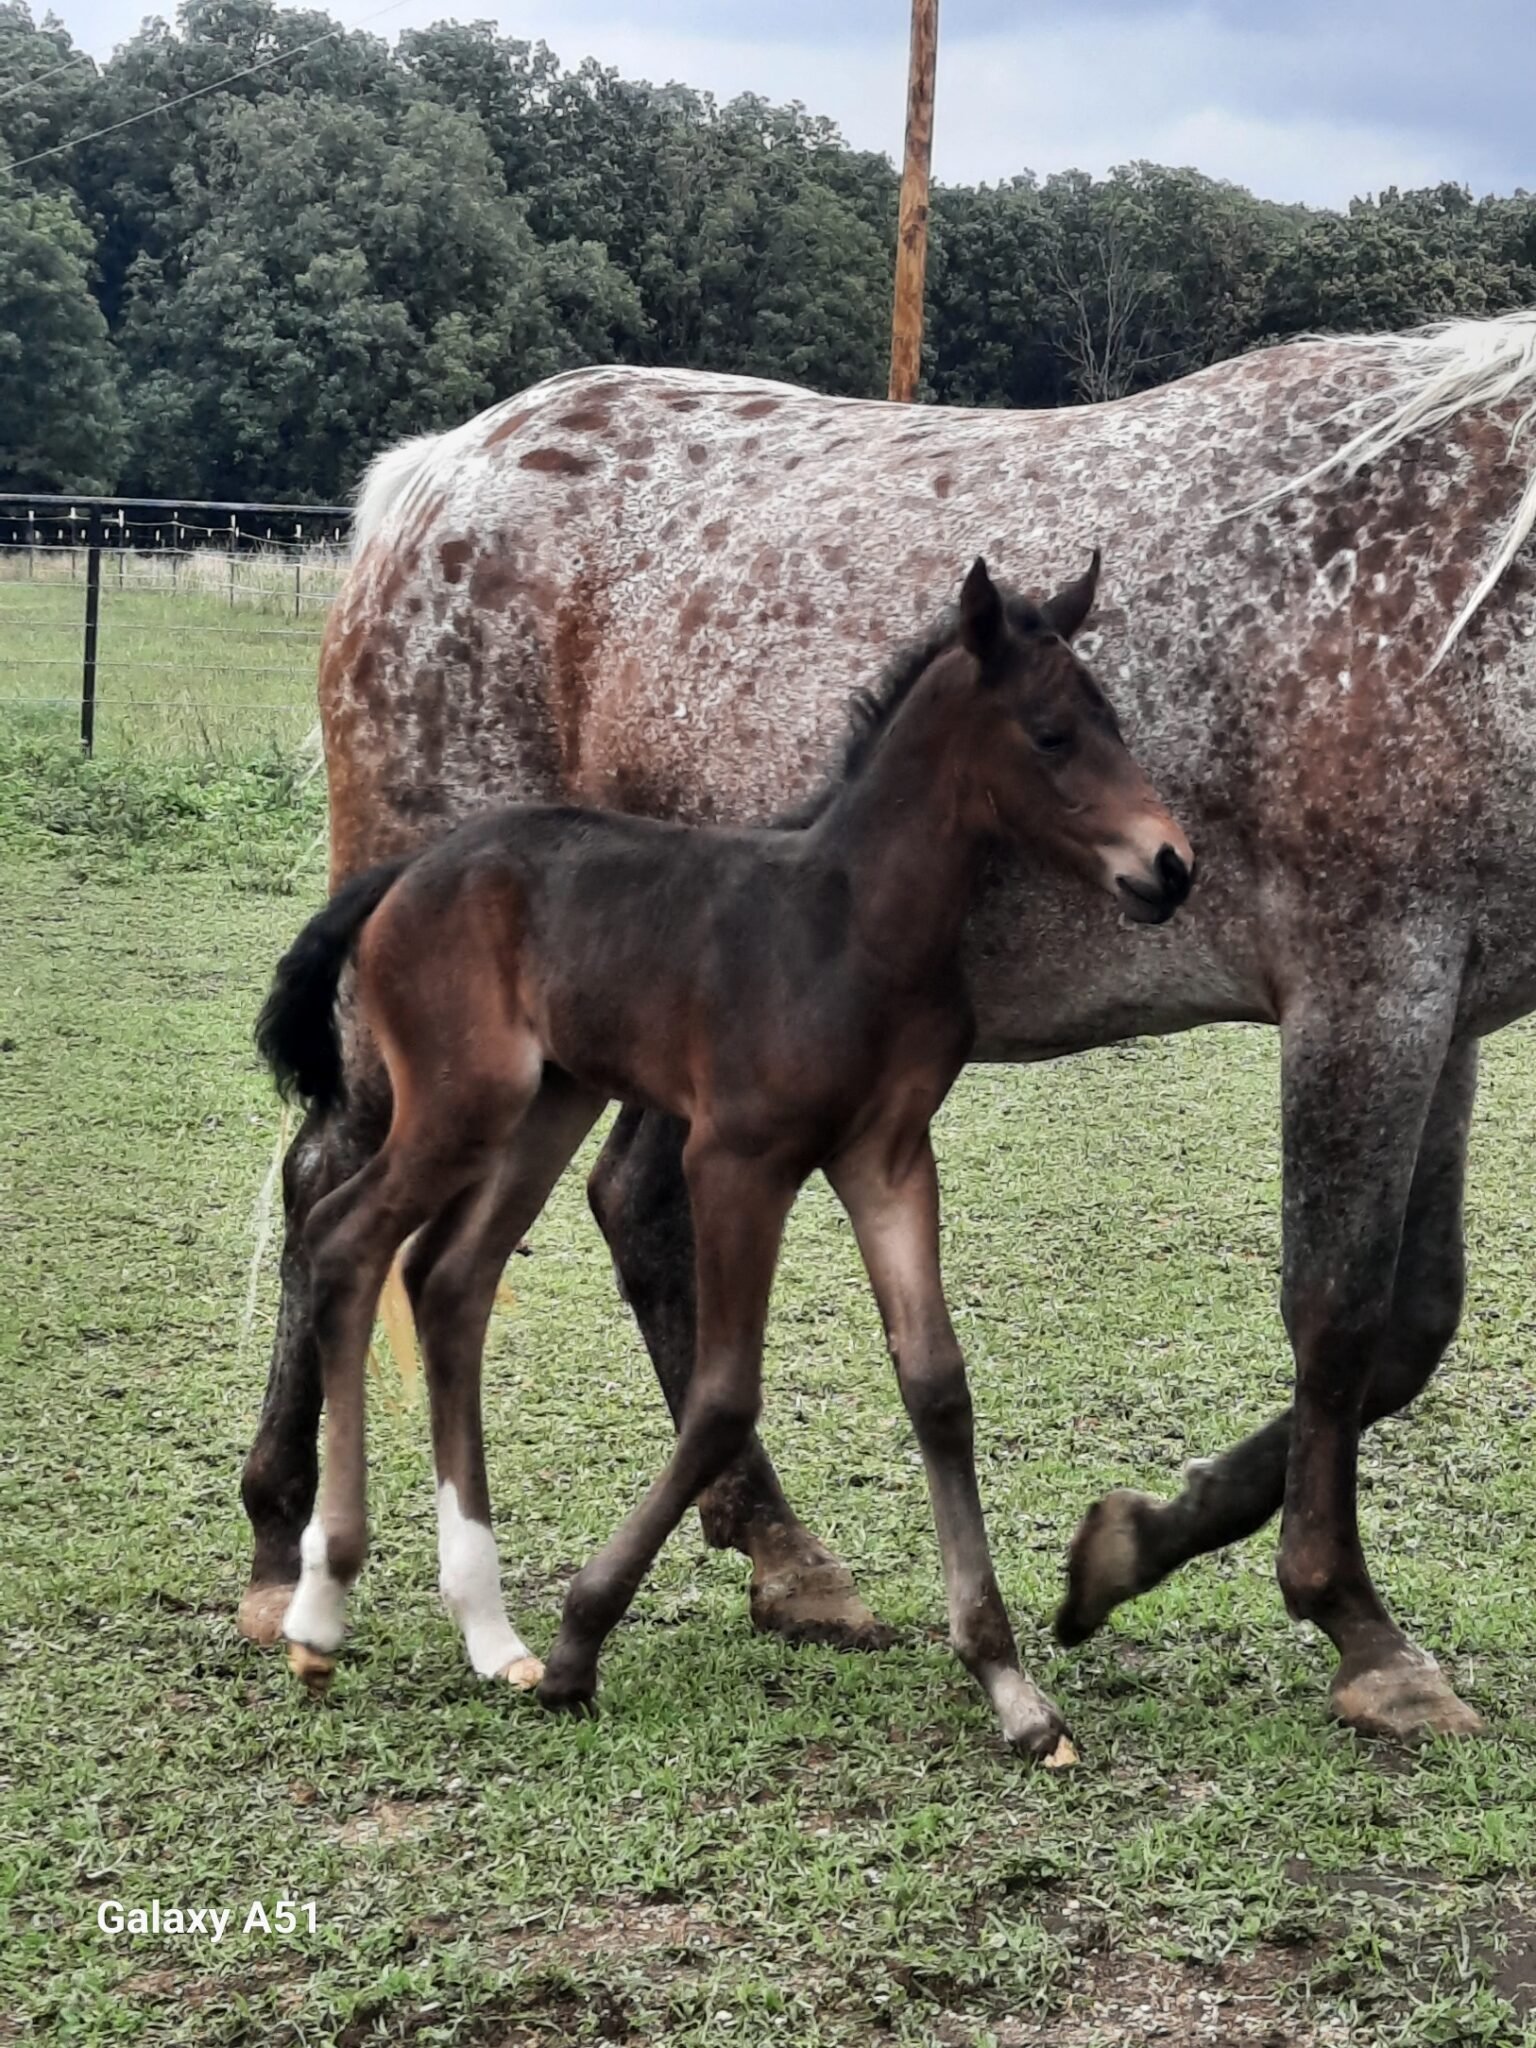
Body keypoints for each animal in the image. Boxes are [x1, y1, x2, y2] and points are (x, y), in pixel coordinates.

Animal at [255, 556, 1193, 1756]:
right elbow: (723, 1396)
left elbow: (937, 1385)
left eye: (1112, 719)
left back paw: (487, 1629)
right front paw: (583, 1637)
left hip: (551, 1101)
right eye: (1052, 734)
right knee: (347, 1237)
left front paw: (1012, 1687)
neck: (851, 924)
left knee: (447, 1277)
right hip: (462, 1102)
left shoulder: (889, 1157)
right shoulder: (738, 1159)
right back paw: (325, 1610)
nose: (1171, 866)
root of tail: (411, 870)